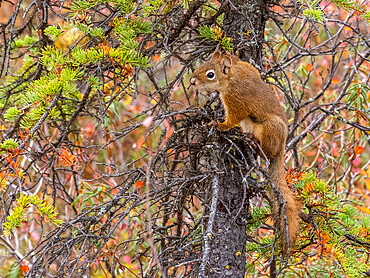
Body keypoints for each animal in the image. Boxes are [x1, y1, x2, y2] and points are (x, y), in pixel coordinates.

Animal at [189, 49, 300, 254]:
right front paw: (230, 53)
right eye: (202, 64)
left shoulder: (237, 100)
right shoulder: (245, 68)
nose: (192, 81)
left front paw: (218, 125)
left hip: (270, 129)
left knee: (266, 152)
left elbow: (233, 118)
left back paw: (255, 145)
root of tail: (281, 150)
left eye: (210, 74)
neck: (231, 79)